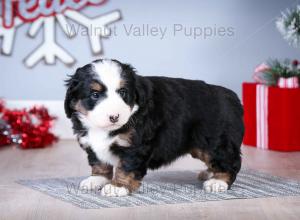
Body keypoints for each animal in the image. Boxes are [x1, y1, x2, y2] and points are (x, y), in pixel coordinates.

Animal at [63, 58, 244, 196]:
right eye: (95, 95)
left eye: (123, 92)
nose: (114, 117)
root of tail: (231, 96)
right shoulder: (91, 143)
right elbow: (99, 162)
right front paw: (96, 179)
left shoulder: (135, 146)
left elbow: (126, 167)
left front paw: (117, 187)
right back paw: (210, 173)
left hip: (214, 141)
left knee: (230, 161)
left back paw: (218, 181)